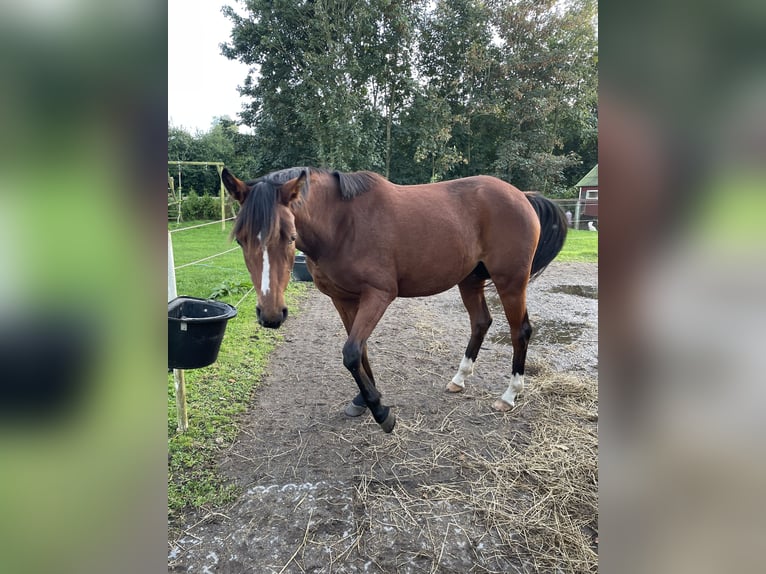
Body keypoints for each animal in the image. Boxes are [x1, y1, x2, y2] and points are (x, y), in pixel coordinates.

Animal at [222, 169, 568, 434]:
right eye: (240, 239)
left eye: (290, 236)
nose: (271, 315)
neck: (343, 224)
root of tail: (522, 195)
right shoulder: (343, 299)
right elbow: (360, 352)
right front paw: (363, 401)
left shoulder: (379, 295)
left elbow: (351, 352)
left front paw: (381, 412)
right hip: (470, 280)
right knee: (481, 322)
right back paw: (459, 379)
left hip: (511, 282)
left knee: (520, 331)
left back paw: (509, 395)